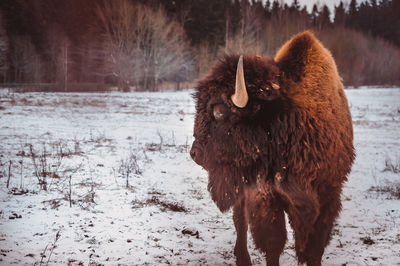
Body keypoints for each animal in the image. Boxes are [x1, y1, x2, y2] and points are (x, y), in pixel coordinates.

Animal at [190, 31, 354, 266]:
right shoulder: (266, 196)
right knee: (240, 220)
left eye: (219, 111)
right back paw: (243, 258)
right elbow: (273, 242)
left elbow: (315, 246)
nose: (195, 153)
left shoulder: (329, 194)